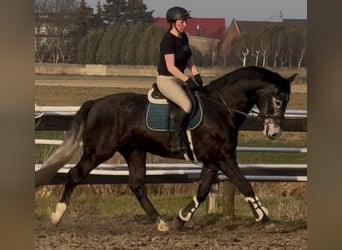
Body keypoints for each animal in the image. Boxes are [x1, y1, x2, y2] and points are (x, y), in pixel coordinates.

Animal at [35, 66, 296, 230]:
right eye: (278, 100)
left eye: (287, 101)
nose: (274, 133)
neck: (221, 108)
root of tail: (96, 103)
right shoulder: (224, 158)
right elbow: (244, 185)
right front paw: (266, 219)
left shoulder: (213, 161)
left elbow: (203, 191)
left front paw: (181, 220)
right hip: (99, 152)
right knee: (74, 175)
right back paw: (56, 217)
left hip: (134, 151)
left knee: (137, 185)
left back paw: (160, 222)